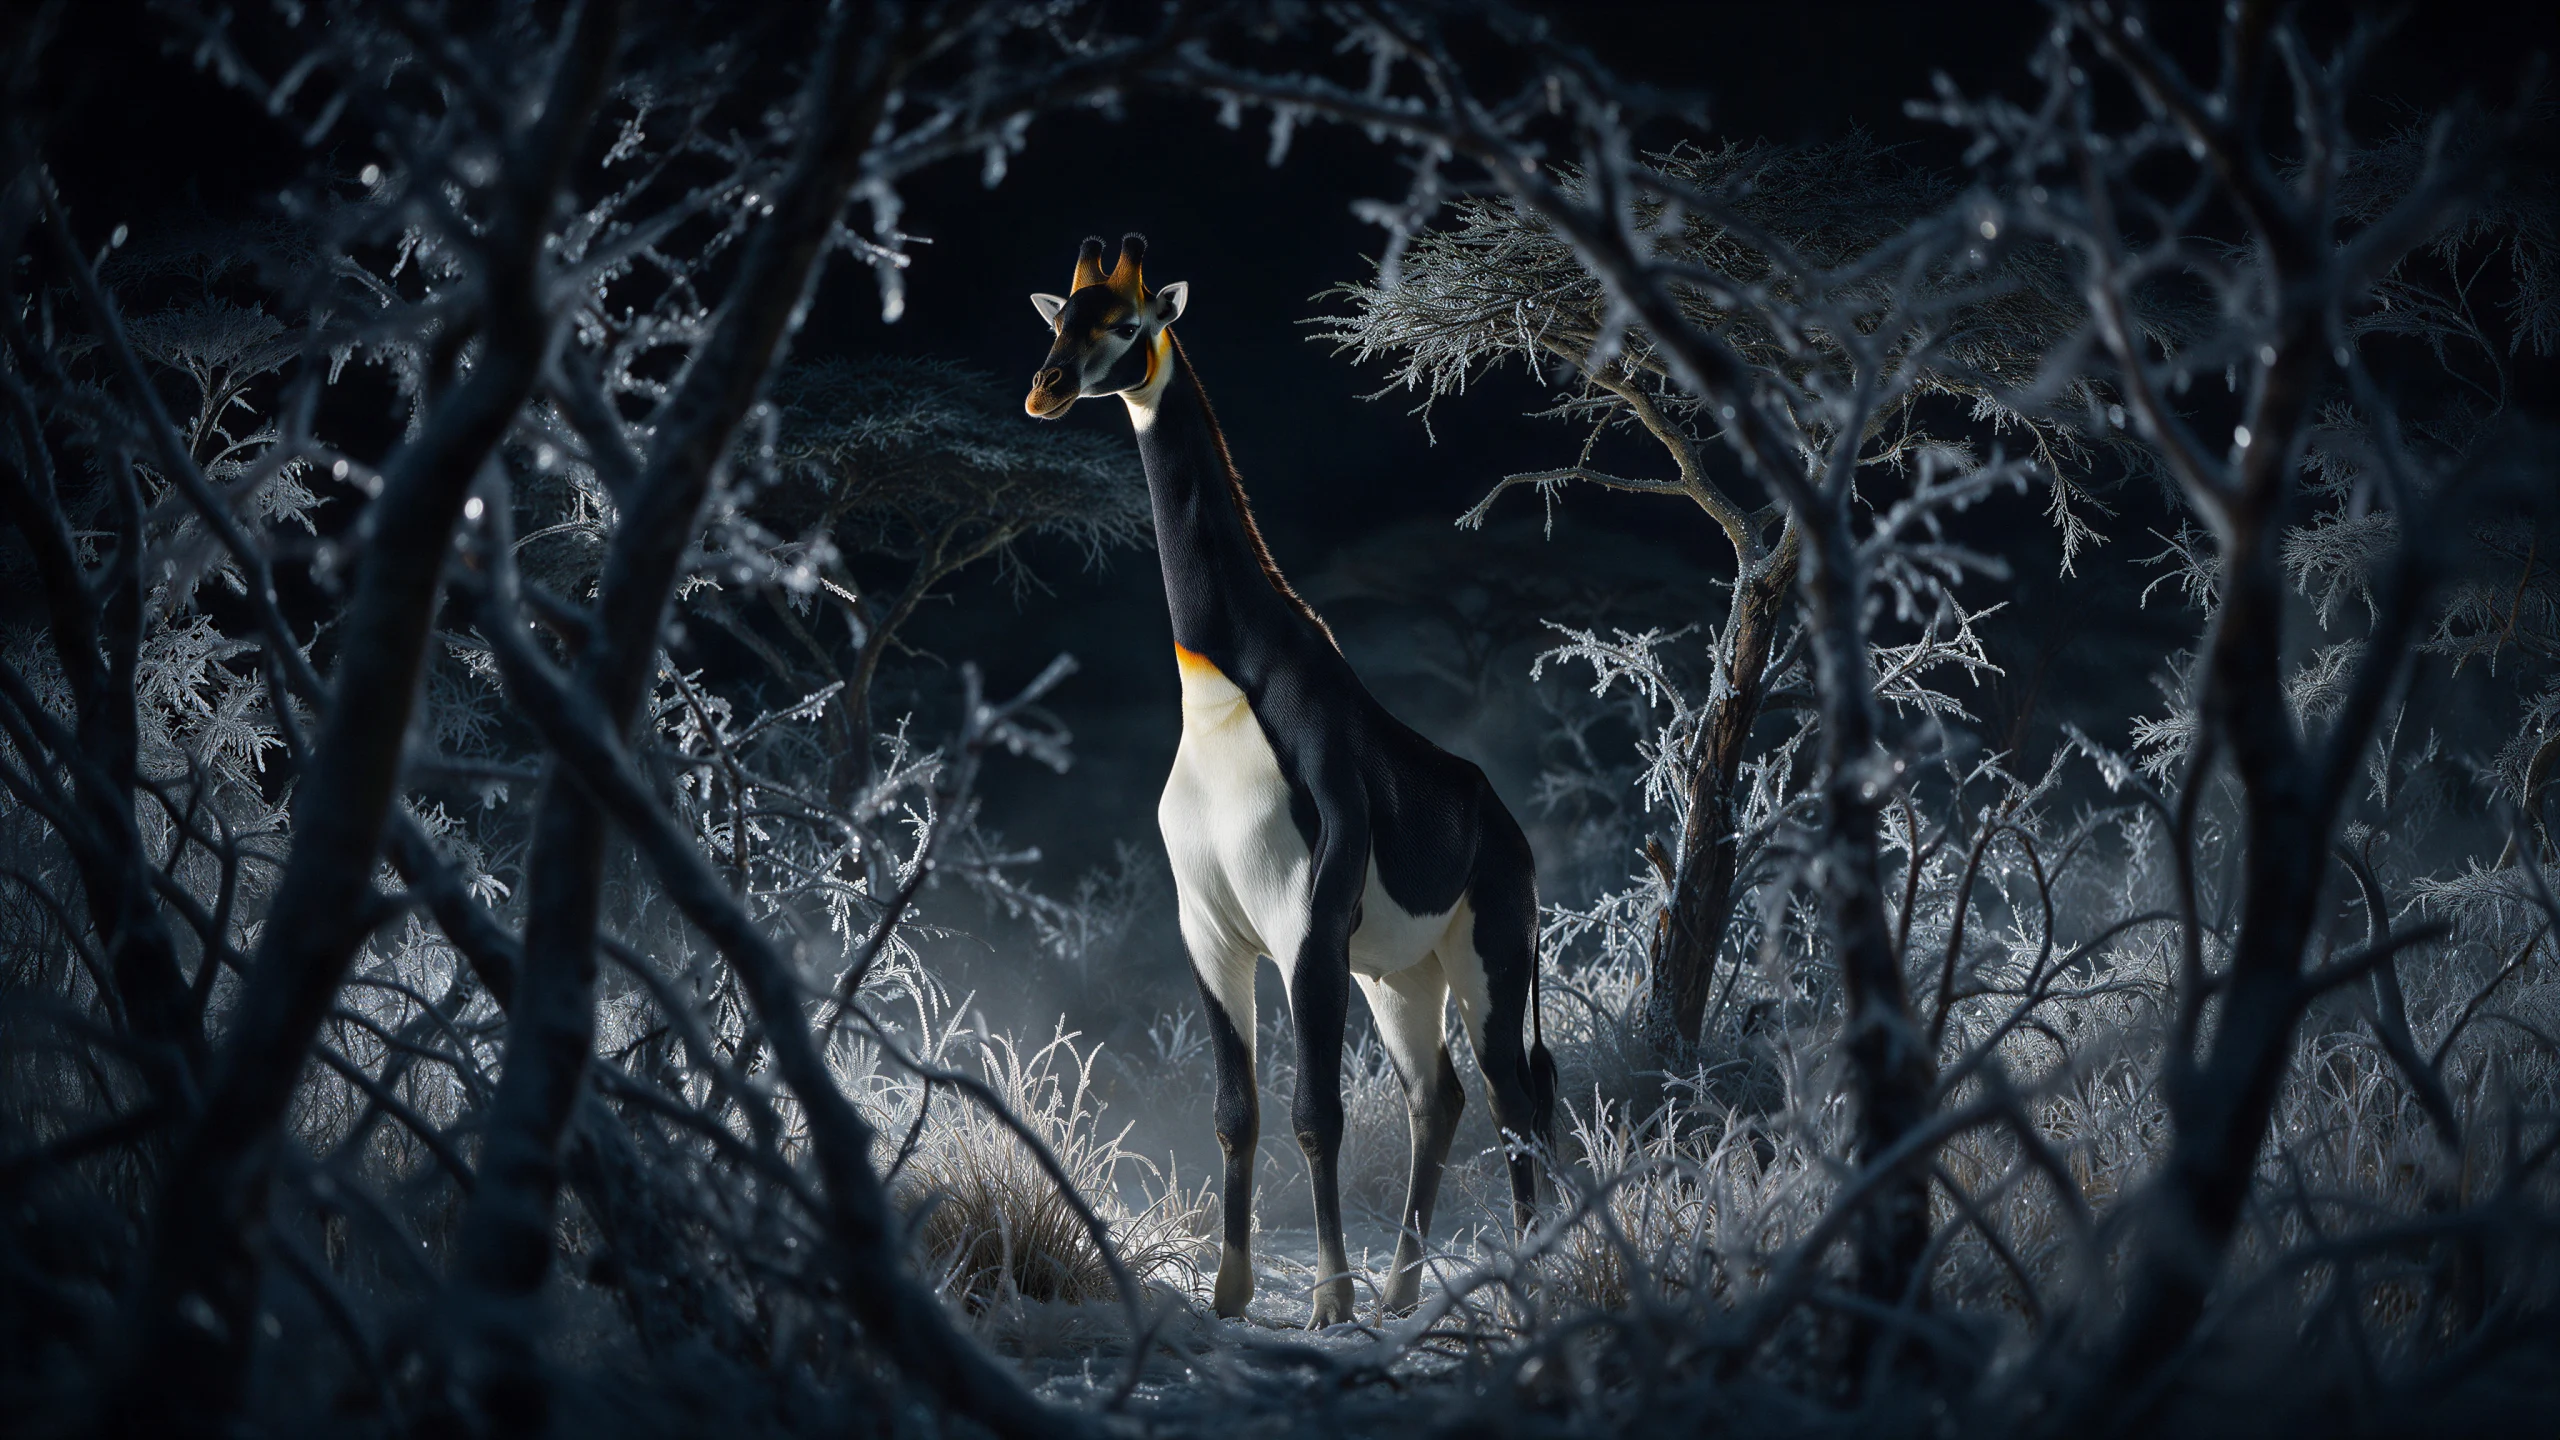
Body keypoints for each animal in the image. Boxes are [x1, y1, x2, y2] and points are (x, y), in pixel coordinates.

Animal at [1024, 234, 1556, 1326]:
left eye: (1127, 325)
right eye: (1060, 320)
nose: (1045, 391)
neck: (1224, 682)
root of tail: (1509, 832)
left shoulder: (1305, 925)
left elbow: (1317, 1113)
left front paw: (1325, 1304)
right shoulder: (1210, 930)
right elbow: (1237, 1112)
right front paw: (1231, 1293)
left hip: (1491, 953)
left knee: (1512, 1096)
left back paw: (1512, 1286)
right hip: (1400, 976)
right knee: (1438, 1096)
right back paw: (1402, 1292)